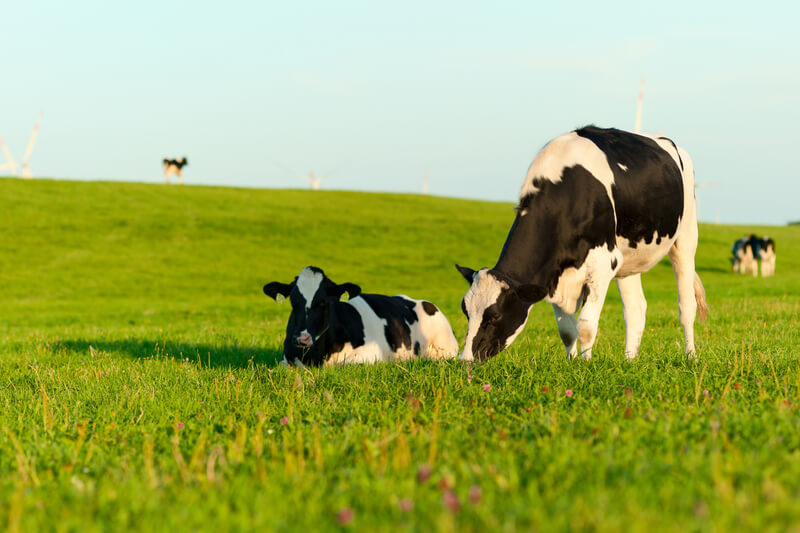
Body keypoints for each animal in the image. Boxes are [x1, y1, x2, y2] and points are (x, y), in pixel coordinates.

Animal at [266, 266, 460, 366]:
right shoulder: (285, 359)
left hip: (445, 348)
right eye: (293, 301)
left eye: (323, 302)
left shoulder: (372, 353)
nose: (302, 338)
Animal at [456, 124, 708, 362]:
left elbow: (585, 325)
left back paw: (691, 355)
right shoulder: (553, 270)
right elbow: (567, 330)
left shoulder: (603, 262)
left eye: (494, 315)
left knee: (686, 306)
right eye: (465, 311)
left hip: (685, 238)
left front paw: (586, 364)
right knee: (635, 308)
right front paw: (572, 361)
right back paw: (629, 360)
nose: (465, 359)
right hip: (629, 258)